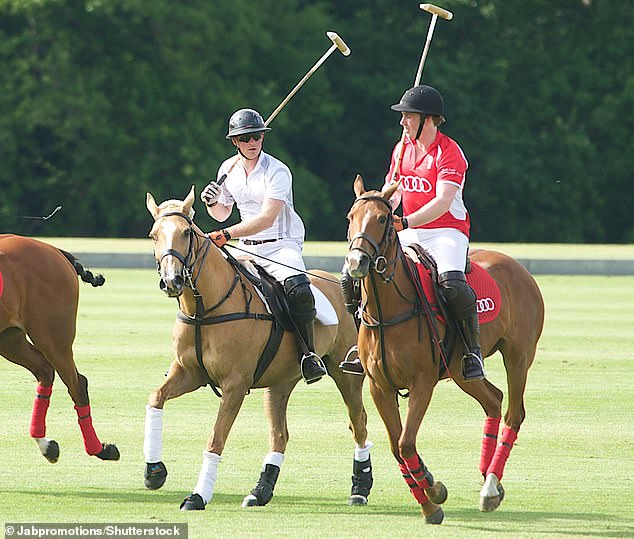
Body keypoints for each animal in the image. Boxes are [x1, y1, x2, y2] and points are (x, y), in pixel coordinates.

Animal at [0, 236, 119, 464]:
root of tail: (54, 249)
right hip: (10, 339)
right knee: (45, 371)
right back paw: (47, 445)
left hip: (53, 336)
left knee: (76, 384)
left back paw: (98, 448)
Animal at [143, 188, 370, 512]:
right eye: (153, 235)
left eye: (186, 233)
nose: (172, 280)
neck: (204, 308)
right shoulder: (188, 373)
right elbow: (155, 398)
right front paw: (154, 471)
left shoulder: (235, 384)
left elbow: (215, 439)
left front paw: (197, 496)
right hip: (281, 381)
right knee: (280, 435)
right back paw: (260, 491)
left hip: (346, 374)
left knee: (358, 423)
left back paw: (360, 488)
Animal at [340, 176, 544, 524]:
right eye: (350, 218)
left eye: (382, 219)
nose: (356, 263)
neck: (388, 310)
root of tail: (518, 267)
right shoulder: (379, 386)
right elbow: (396, 447)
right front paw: (430, 499)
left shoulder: (422, 382)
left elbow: (407, 444)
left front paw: (433, 493)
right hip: (461, 370)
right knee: (493, 400)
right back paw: (488, 476)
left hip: (518, 357)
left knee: (513, 413)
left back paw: (490, 487)